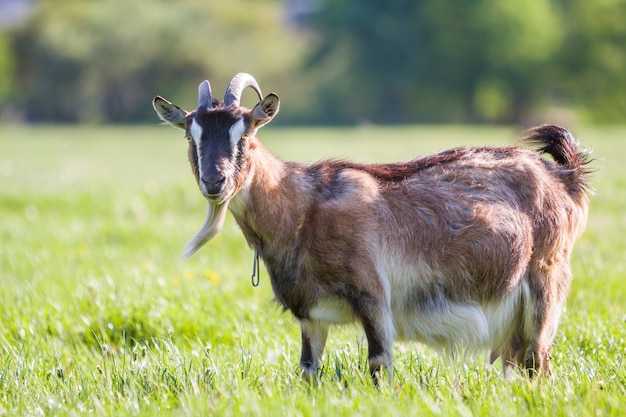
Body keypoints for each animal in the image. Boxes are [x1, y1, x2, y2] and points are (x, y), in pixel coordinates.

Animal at [152, 72, 588, 380]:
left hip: (545, 282)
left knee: (539, 360)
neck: (302, 209)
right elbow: (307, 369)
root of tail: (564, 178)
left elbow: (378, 363)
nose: (215, 181)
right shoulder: (309, 313)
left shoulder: (373, 295)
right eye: (191, 138)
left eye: (244, 136)